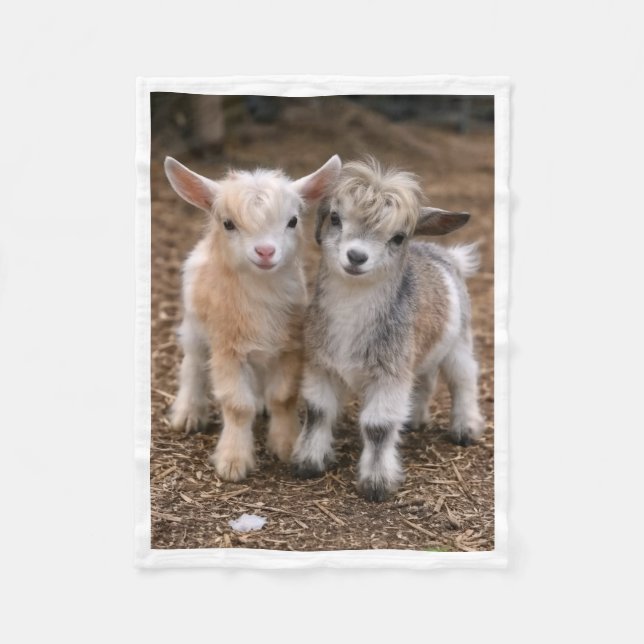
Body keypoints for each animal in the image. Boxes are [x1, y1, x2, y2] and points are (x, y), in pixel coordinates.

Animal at [164, 155, 341, 481]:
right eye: (228, 224)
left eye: (293, 221)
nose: (265, 251)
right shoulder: (227, 349)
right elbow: (237, 405)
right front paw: (233, 462)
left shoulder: (289, 346)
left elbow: (283, 397)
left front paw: (286, 445)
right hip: (195, 327)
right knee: (193, 365)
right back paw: (188, 414)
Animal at [291, 158, 484, 501]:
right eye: (335, 218)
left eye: (398, 237)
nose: (356, 256)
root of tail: (446, 255)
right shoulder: (320, 364)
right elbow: (318, 412)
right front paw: (308, 463)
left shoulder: (389, 373)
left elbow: (378, 427)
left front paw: (377, 484)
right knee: (425, 380)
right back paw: (413, 420)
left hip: (459, 341)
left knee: (464, 379)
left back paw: (465, 429)